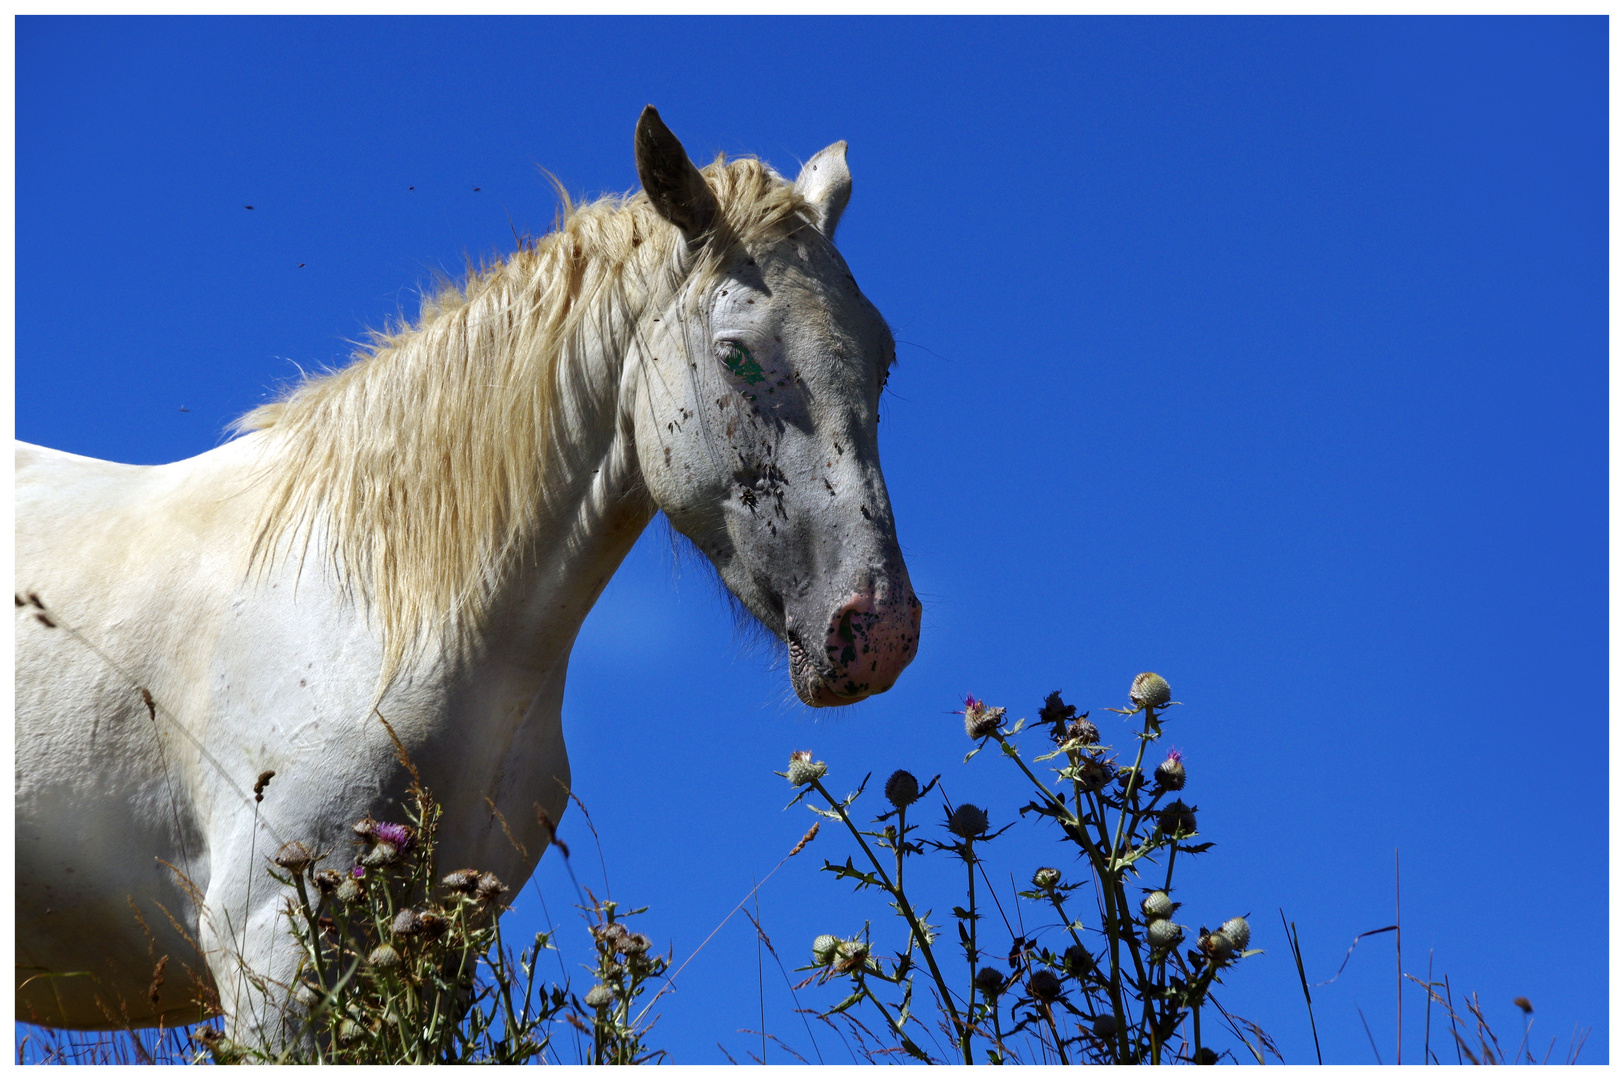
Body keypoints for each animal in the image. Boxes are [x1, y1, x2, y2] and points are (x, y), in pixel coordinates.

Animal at [12, 105, 922, 1032]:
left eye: (882, 357)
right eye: (736, 354)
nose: (877, 629)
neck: (382, 614)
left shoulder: (437, 957)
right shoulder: (266, 955)